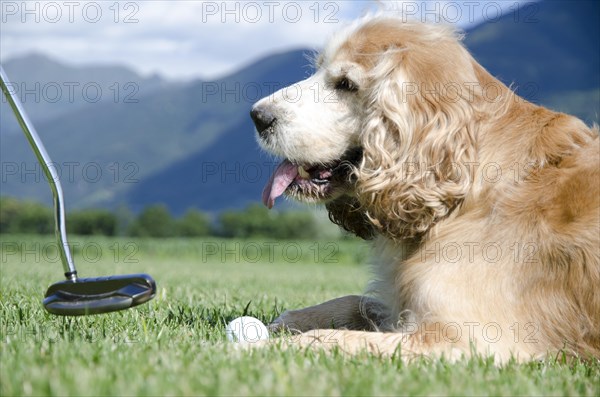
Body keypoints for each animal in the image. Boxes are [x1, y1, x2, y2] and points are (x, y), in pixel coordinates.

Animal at [248, 15, 596, 362]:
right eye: (318, 69)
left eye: (346, 84)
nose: (257, 116)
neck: (465, 189)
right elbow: (358, 301)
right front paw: (289, 319)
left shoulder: (470, 340)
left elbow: (326, 338)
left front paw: (253, 347)